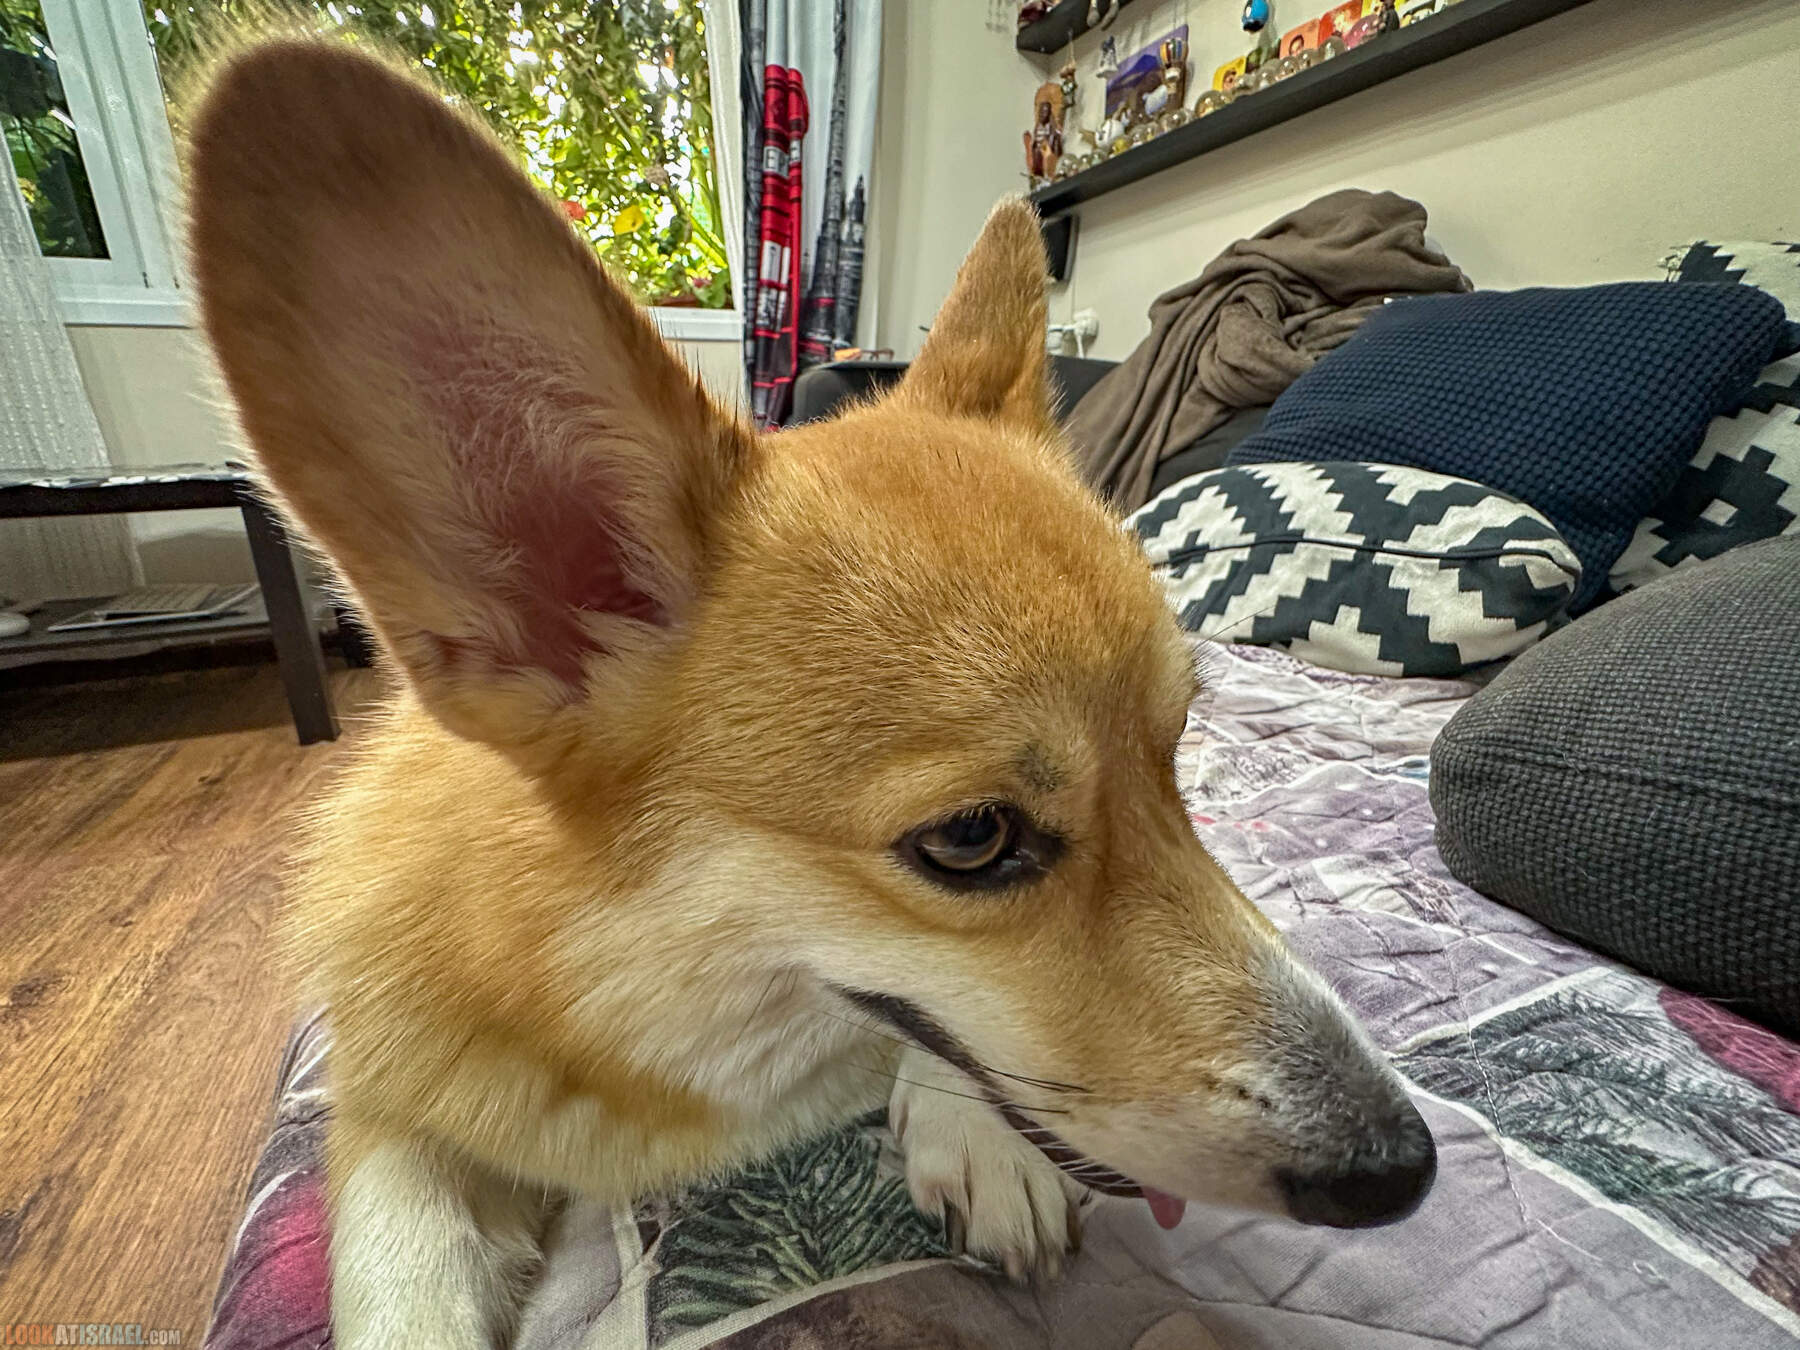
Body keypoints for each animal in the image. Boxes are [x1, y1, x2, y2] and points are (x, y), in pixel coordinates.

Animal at [186, 37, 1435, 1348]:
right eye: (972, 839)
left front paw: (976, 1137)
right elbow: (402, 1280)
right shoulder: (386, 1110)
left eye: (1177, 755)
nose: (1402, 1170)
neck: (616, 1007)